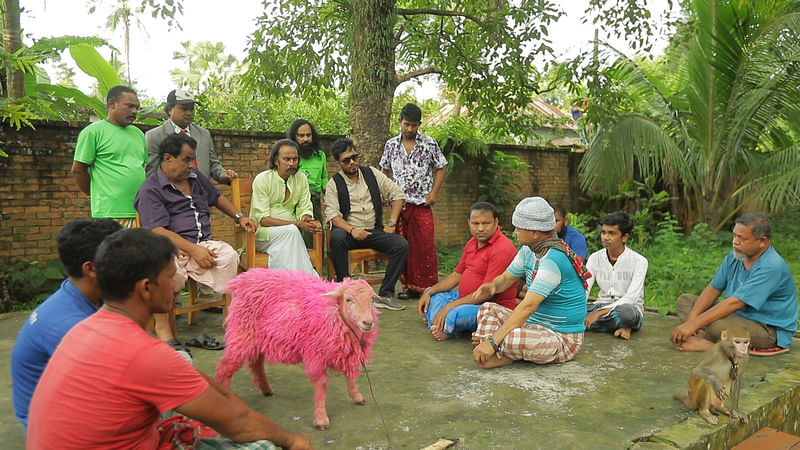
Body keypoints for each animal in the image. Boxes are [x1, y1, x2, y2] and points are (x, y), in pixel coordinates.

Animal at [216, 268, 382, 428]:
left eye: (372, 299)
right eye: (348, 300)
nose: (368, 322)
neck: (335, 312)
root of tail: (242, 280)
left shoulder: (350, 351)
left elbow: (350, 375)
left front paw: (356, 396)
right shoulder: (316, 355)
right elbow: (321, 386)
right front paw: (321, 418)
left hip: (259, 338)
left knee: (256, 363)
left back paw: (266, 388)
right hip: (242, 332)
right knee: (225, 367)